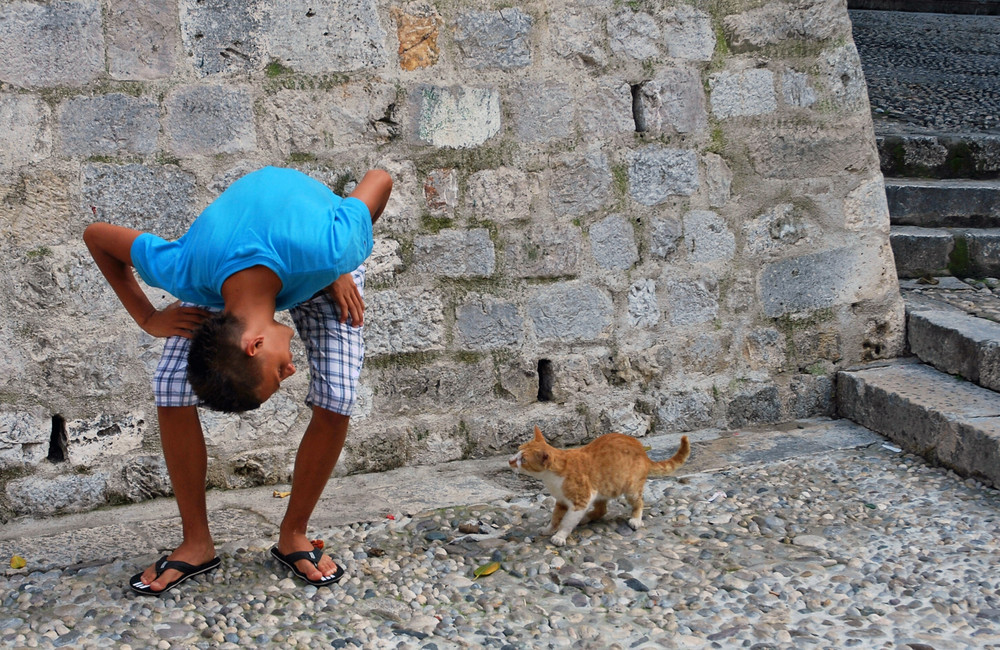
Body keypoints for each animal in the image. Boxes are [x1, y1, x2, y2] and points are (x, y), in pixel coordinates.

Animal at [508, 426, 688, 540]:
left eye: (523, 460)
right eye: (517, 450)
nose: (510, 461)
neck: (551, 478)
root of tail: (644, 452)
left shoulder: (582, 499)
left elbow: (567, 521)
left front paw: (560, 536)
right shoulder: (561, 501)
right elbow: (556, 517)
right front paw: (549, 529)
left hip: (630, 488)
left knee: (639, 502)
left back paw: (636, 519)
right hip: (604, 487)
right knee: (602, 510)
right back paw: (586, 517)